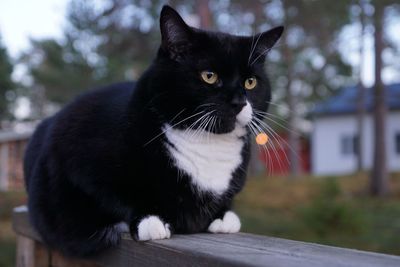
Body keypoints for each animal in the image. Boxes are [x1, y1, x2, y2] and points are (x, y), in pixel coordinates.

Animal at [23, 5, 282, 258]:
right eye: (209, 76)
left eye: (250, 82)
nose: (239, 102)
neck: (205, 141)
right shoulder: (78, 160)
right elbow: (115, 197)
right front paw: (150, 220)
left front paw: (224, 218)